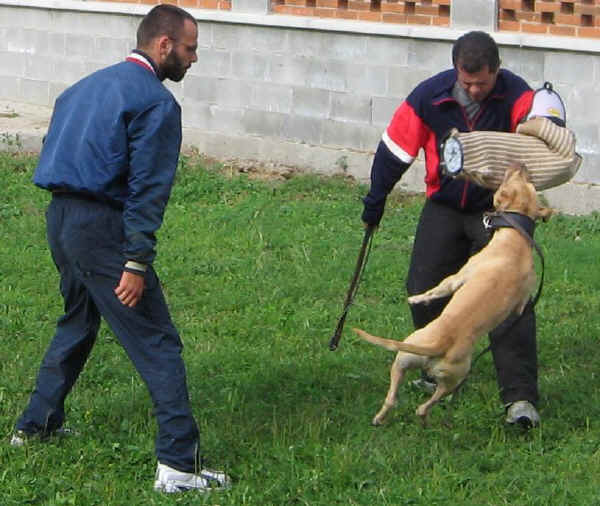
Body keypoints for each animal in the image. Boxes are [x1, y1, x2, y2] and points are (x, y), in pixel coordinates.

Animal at [352, 164, 552, 424]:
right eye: (526, 181)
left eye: (513, 178)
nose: (520, 165)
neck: (516, 238)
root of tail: (439, 344)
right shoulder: (519, 298)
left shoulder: (459, 277)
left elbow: (438, 289)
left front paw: (416, 298)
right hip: (411, 362)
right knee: (402, 398)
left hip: (427, 364)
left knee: (417, 401)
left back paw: (417, 414)